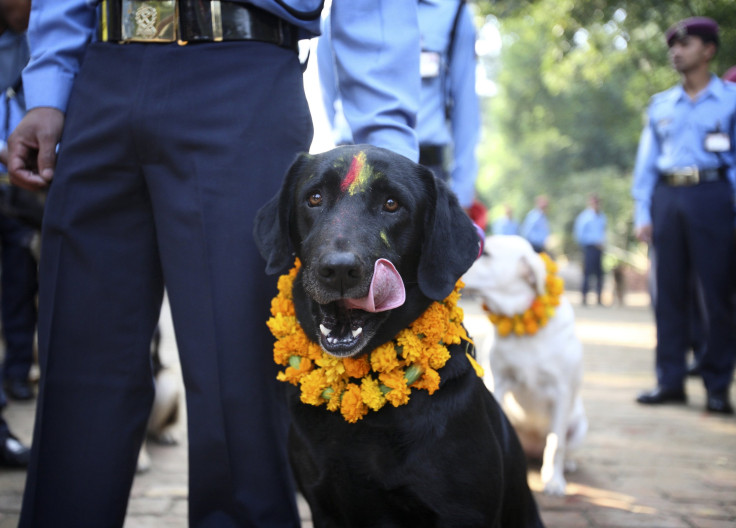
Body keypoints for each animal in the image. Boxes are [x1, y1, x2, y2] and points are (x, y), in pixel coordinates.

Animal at [466, 235, 588, 496]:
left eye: (486, 253)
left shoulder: (561, 392)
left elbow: (556, 443)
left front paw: (554, 481)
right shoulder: (499, 382)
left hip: (579, 426)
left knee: (561, 446)